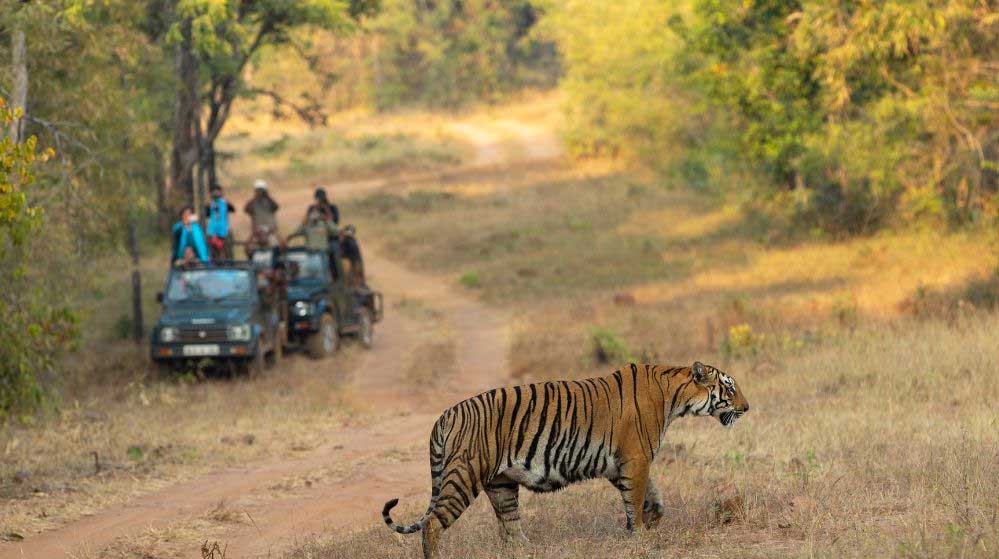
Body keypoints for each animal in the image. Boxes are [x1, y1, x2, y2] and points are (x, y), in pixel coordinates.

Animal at [382, 360, 752, 556]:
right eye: (730, 388)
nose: (747, 408)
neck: (675, 396)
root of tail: (445, 415)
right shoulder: (635, 459)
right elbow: (636, 498)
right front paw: (641, 535)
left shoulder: (621, 464)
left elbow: (652, 496)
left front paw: (651, 519)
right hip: (464, 475)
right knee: (432, 523)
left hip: (501, 486)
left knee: (511, 528)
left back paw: (529, 550)